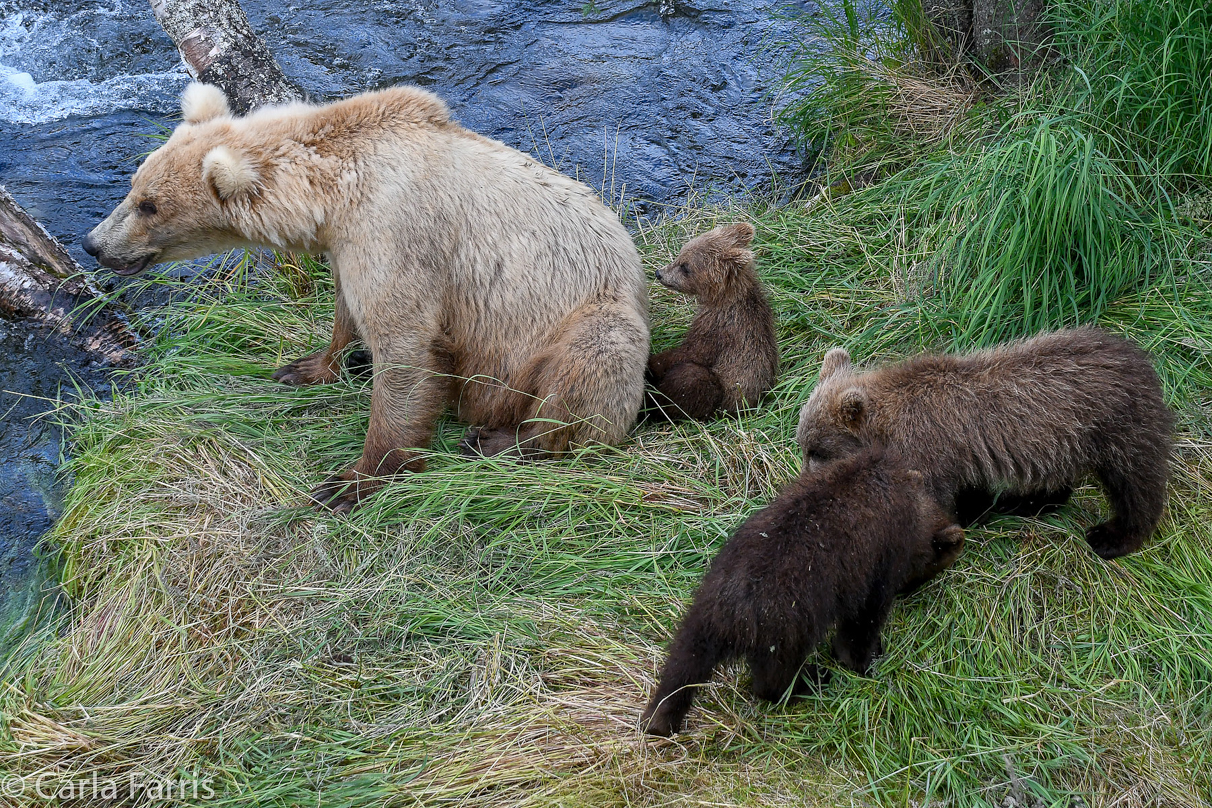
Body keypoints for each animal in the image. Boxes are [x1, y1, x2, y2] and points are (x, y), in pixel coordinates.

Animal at [83, 82, 654, 511]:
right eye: (133, 185)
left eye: (150, 205)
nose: (93, 243)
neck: (333, 193)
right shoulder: (347, 244)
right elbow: (346, 308)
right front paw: (306, 367)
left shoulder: (397, 231)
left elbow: (403, 350)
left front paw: (349, 481)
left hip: (586, 321)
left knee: (588, 374)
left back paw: (500, 440)